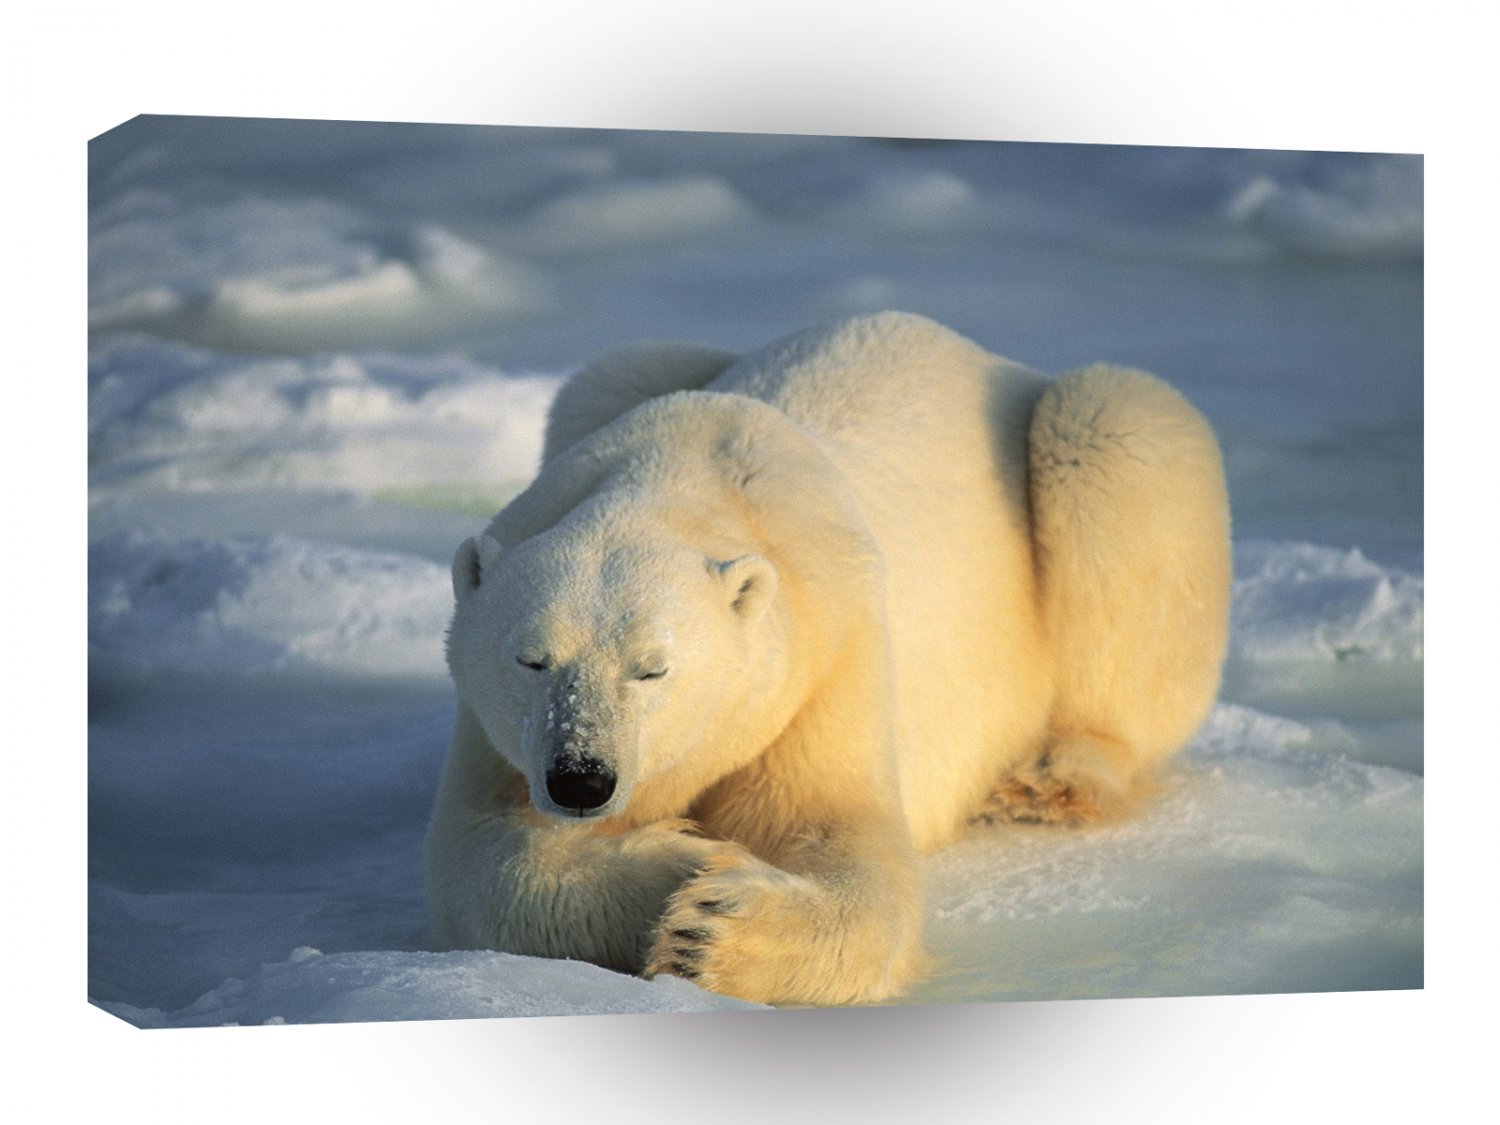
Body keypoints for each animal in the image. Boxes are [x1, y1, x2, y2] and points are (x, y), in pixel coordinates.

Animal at [425, 311, 1231, 1006]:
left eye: (652, 667)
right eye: (531, 660)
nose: (581, 778)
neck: (689, 474)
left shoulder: (827, 655)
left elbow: (846, 843)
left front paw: (709, 926)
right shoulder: (497, 729)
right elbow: (480, 857)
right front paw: (680, 859)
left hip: (1088, 448)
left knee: (1115, 437)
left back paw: (1051, 781)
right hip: (616, 380)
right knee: (611, 368)